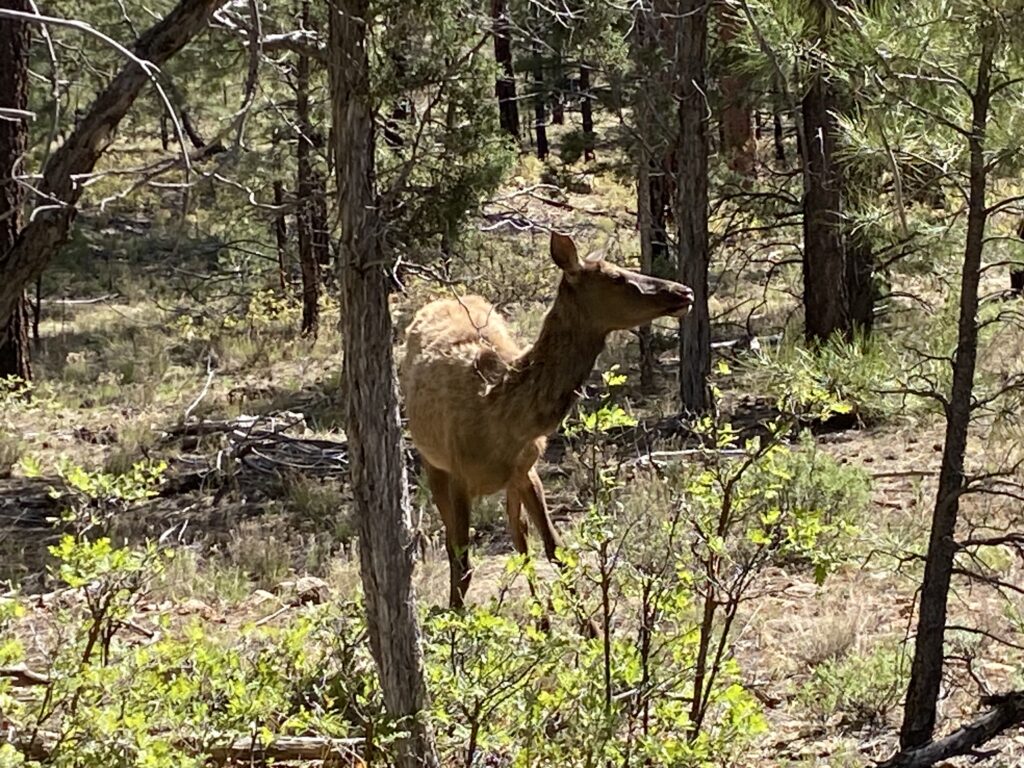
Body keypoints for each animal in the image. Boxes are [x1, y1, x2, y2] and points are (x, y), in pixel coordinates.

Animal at [400, 231, 694, 611]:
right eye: (616, 277)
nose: (684, 292)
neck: (503, 418)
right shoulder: (459, 475)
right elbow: (462, 563)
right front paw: (455, 619)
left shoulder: (526, 469)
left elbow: (555, 550)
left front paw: (587, 625)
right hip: (431, 461)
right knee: (461, 546)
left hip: (513, 479)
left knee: (520, 537)